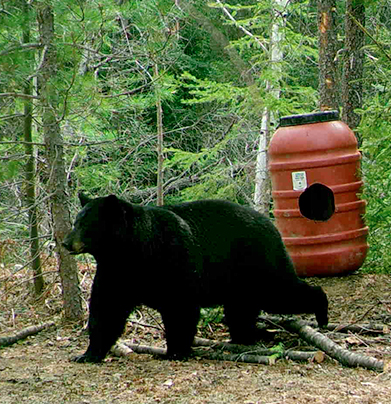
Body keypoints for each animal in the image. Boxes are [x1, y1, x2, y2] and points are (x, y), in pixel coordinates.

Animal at [63, 194, 328, 364]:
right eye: (75, 221)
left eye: (86, 224)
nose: (65, 242)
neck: (133, 251)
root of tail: (271, 223)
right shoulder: (116, 273)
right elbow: (106, 309)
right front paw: (87, 354)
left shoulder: (173, 257)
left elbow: (180, 307)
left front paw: (176, 351)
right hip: (239, 280)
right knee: (240, 310)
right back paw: (248, 335)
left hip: (258, 262)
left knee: (281, 291)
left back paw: (321, 312)